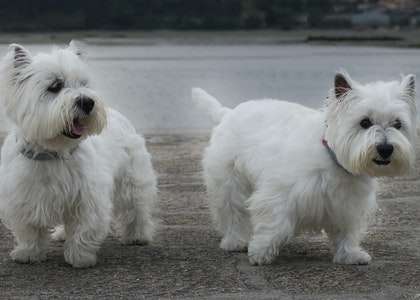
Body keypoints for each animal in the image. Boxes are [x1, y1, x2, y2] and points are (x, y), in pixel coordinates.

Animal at [0, 41, 159, 268]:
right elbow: (30, 231)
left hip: (133, 180)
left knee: (136, 209)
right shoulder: (23, 198)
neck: (52, 152)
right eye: (55, 86)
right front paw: (28, 254)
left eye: (84, 83)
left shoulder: (87, 198)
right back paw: (61, 234)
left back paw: (137, 236)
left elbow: (84, 230)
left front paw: (80, 258)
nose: (88, 102)